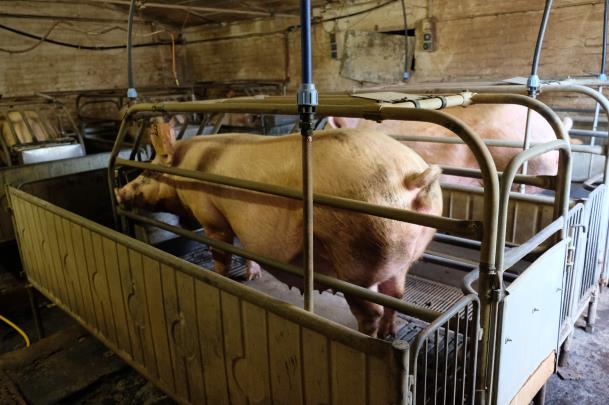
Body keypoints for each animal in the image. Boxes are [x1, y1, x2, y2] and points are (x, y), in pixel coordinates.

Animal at [115, 122, 443, 338]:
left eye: (149, 173)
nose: (120, 192)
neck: (186, 169)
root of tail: (413, 178)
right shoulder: (240, 223)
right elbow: (245, 249)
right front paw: (251, 277)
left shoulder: (212, 216)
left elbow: (221, 251)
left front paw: (222, 277)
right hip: (399, 257)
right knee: (396, 295)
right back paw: (390, 333)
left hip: (358, 261)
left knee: (371, 309)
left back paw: (367, 337)